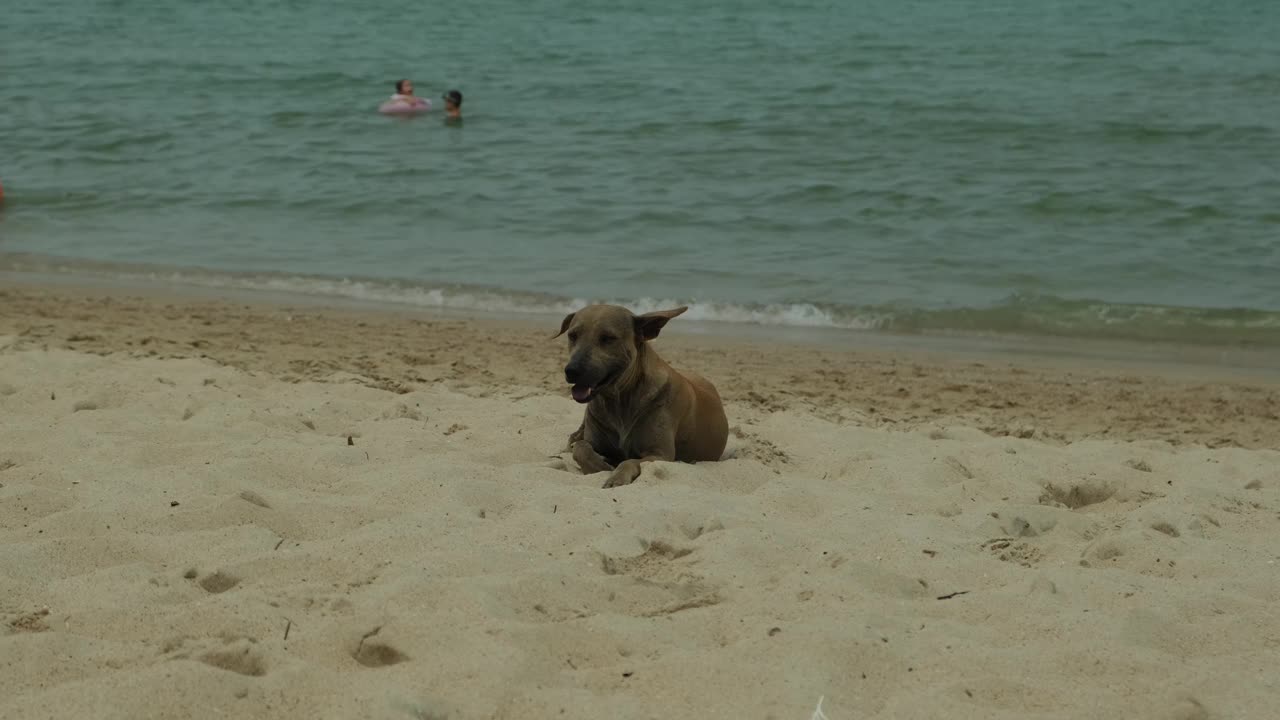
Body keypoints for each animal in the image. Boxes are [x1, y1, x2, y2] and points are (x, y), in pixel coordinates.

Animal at [552, 302, 727, 486]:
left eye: (608, 338)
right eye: (572, 335)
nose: (572, 371)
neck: (619, 400)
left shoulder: (659, 454)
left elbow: (629, 461)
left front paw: (616, 476)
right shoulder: (594, 439)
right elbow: (581, 448)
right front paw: (599, 465)